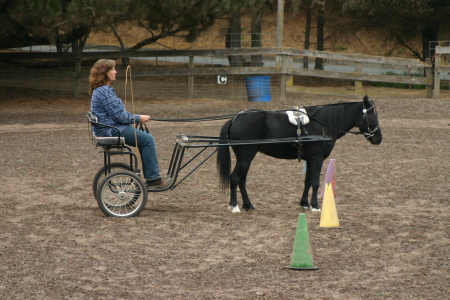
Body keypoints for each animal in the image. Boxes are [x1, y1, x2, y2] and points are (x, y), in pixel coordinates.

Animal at [216, 95, 382, 212]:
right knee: (235, 178)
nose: (378, 138)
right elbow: (315, 182)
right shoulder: (317, 159)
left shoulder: (309, 159)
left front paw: (304, 203)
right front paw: (315, 206)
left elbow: (307, 181)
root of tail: (235, 119)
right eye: (372, 115)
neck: (323, 125)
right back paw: (234, 206)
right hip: (245, 157)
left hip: (246, 158)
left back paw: (248, 205)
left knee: (242, 181)